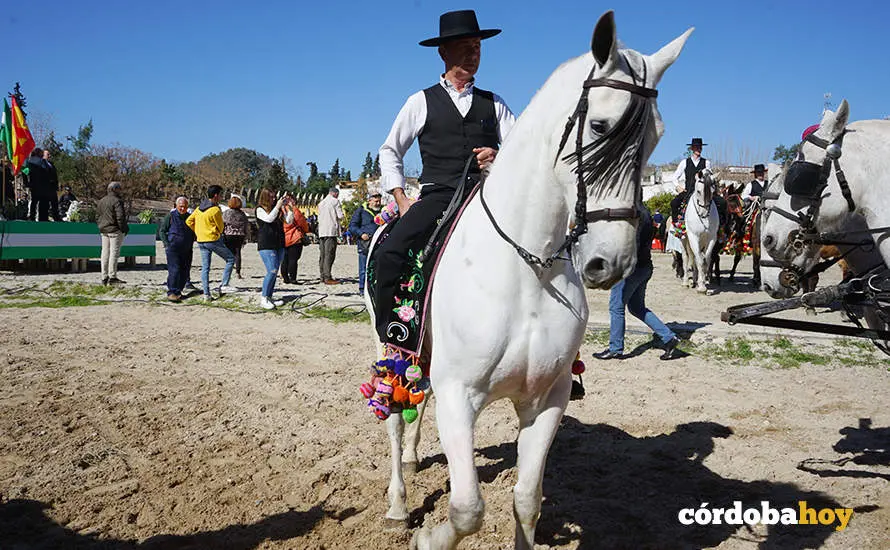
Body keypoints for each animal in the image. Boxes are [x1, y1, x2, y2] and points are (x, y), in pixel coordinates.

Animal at [367, 12, 692, 550]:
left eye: (657, 137)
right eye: (599, 126)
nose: (612, 262)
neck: (528, 268)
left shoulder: (547, 399)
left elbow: (526, 499)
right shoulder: (459, 397)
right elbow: (467, 508)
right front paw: (427, 538)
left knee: (417, 396)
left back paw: (413, 459)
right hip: (392, 347)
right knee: (393, 414)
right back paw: (396, 502)